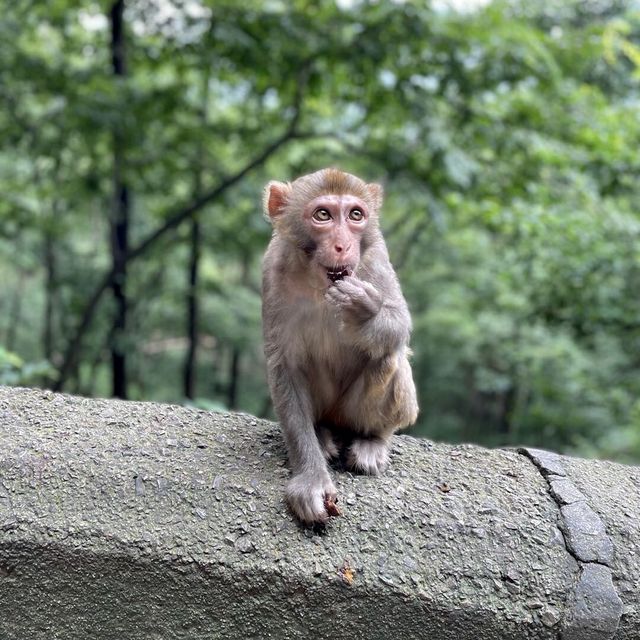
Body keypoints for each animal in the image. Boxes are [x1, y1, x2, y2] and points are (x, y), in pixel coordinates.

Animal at [262, 169, 418, 524]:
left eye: (355, 215)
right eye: (323, 215)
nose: (343, 245)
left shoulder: (376, 257)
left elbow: (400, 324)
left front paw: (364, 314)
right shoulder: (272, 271)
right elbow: (286, 365)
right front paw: (311, 480)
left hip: (353, 411)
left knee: (388, 356)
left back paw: (372, 440)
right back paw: (320, 434)